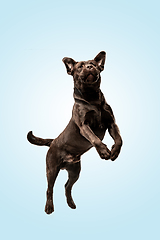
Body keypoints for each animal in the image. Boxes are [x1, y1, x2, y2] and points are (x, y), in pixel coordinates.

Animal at [27, 50, 122, 214]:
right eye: (80, 66)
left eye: (94, 64)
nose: (90, 67)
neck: (91, 98)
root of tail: (53, 142)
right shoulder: (84, 126)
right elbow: (95, 139)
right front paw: (104, 151)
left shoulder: (111, 123)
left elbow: (120, 139)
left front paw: (114, 152)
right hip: (51, 170)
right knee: (49, 189)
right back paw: (49, 207)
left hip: (75, 171)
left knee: (67, 186)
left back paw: (71, 203)